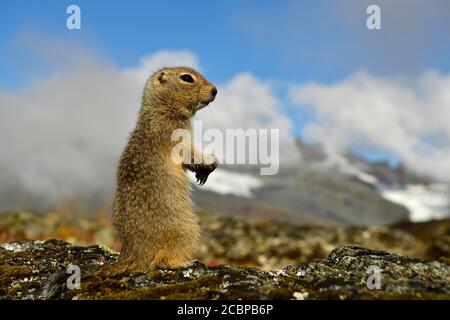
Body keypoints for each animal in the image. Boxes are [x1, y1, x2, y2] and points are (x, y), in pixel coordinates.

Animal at [108, 66, 217, 274]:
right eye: (186, 78)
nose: (215, 90)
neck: (162, 109)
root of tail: (132, 253)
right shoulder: (174, 135)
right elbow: (188, 151)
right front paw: (210, 161)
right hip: (187, 229)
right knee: (160, 261)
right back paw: (186, 262)